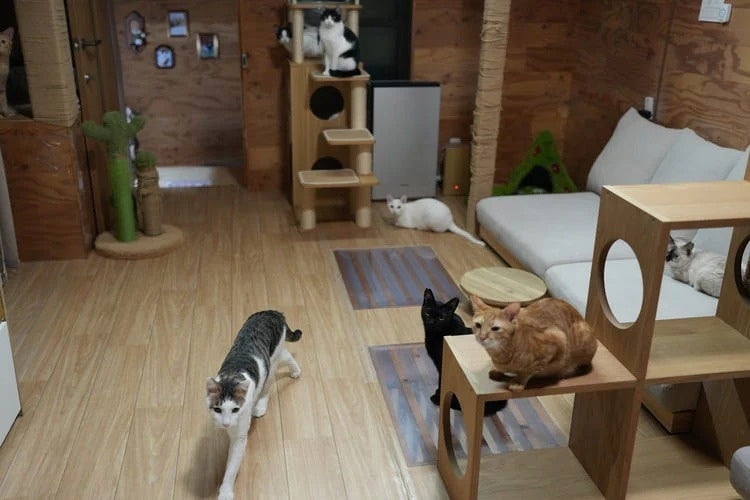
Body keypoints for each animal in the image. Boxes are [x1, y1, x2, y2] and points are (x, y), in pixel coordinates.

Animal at [206, 310, 302, 500]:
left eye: (235, 409)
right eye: (218, 409)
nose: (226, 424)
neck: (231, 377)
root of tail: (273, 312)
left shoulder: (240, 436)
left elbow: (232, 466)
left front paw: (225, 491)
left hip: (271, 363)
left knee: (270, 381)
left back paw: (263, 404)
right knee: (287, 355)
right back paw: (296, 370)